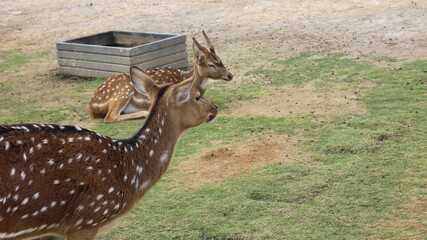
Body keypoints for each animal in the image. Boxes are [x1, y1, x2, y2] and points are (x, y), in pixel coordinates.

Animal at [88, 30, 234, 123]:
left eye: (220, 59)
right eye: (211, 64)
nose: (230, 75)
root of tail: (91, 106)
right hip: (123, 92)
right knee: (109, 117)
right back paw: (144, 113)